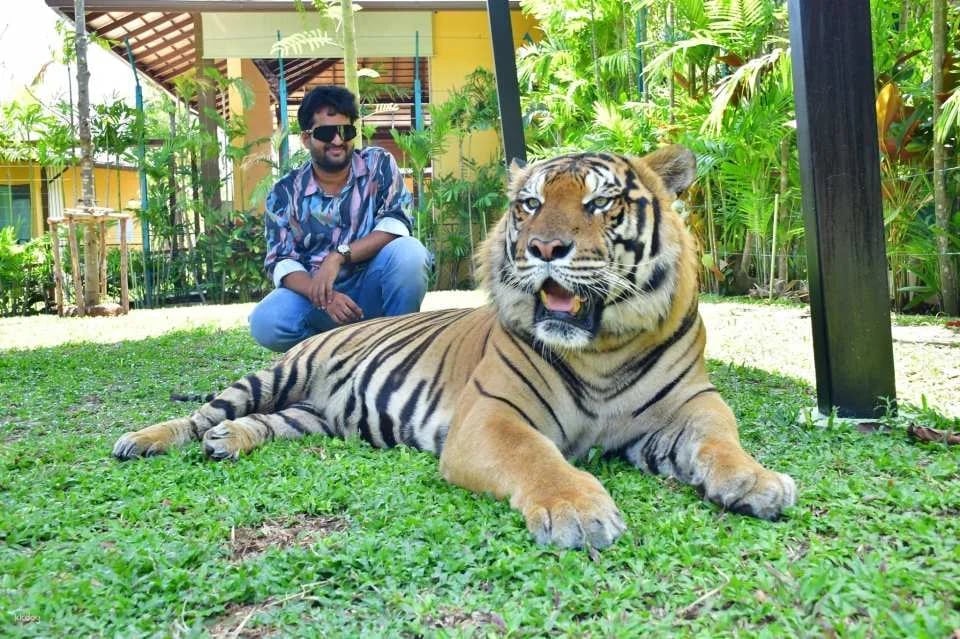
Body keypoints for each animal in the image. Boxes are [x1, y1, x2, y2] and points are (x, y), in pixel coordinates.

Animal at [113, 145, 796, 549]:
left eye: (601, 202)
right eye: (530, 204)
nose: (543, 249)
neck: (600, 347)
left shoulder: (691, 407)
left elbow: (720, 443)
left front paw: (759, 482)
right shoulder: (492, 417)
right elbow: (539, 459)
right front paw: (577, 510)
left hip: (311, 417)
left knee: (267, 424)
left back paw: (229, 442)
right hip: (273, 375)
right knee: (204, 412)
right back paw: (144, 440)